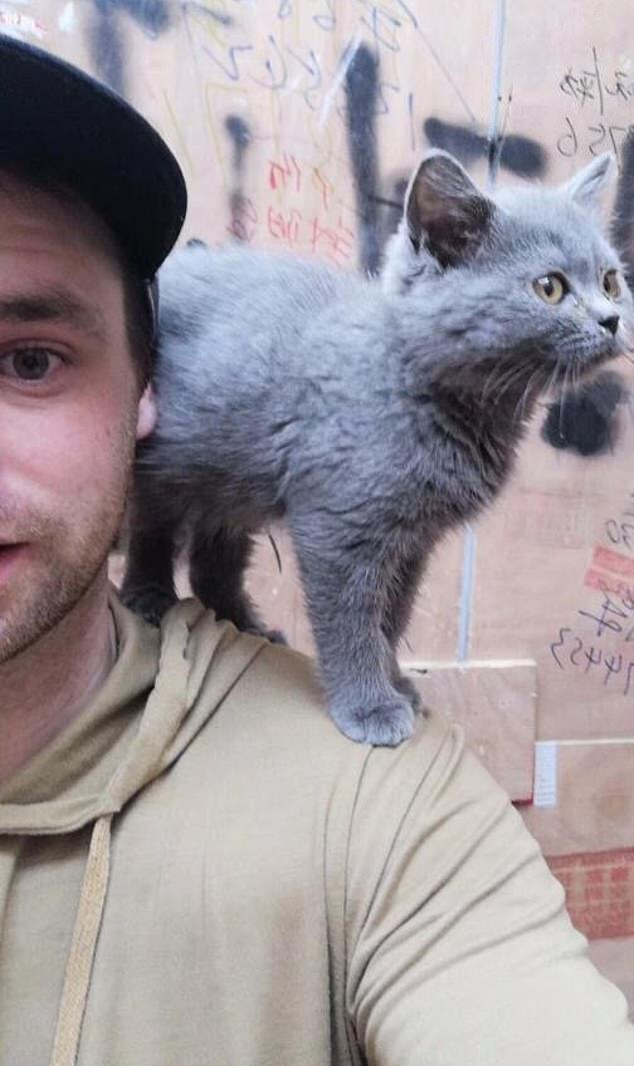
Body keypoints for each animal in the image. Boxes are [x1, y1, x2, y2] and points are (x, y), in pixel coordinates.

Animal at [121, 149, 631, 746]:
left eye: (611, 281)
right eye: (549, 287)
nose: (612, 319)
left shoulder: (413, 541)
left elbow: (394, 616)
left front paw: (396, 683)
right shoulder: (339, 526)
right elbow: (352, 621)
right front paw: (370, 705)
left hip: (235, 474)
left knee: (212, 556)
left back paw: (242, 622)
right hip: (172, 461)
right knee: (153, 525)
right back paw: (149, 598)